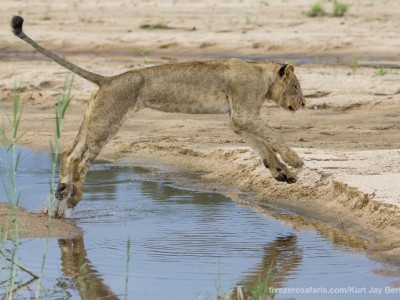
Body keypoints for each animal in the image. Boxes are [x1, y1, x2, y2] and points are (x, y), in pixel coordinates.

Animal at [10, 15, 304, 217]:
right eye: (296, 86)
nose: (303, 102)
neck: (262, 76)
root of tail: (108, 79)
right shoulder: (244, 113)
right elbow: (272, 137)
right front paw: (295, 162)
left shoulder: (238, 121)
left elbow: (263, 147)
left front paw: (283, 174)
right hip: (108, 122)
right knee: (81, 160)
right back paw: (73, 198)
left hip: (94, 119)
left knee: (69, 152)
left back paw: (62, 192)